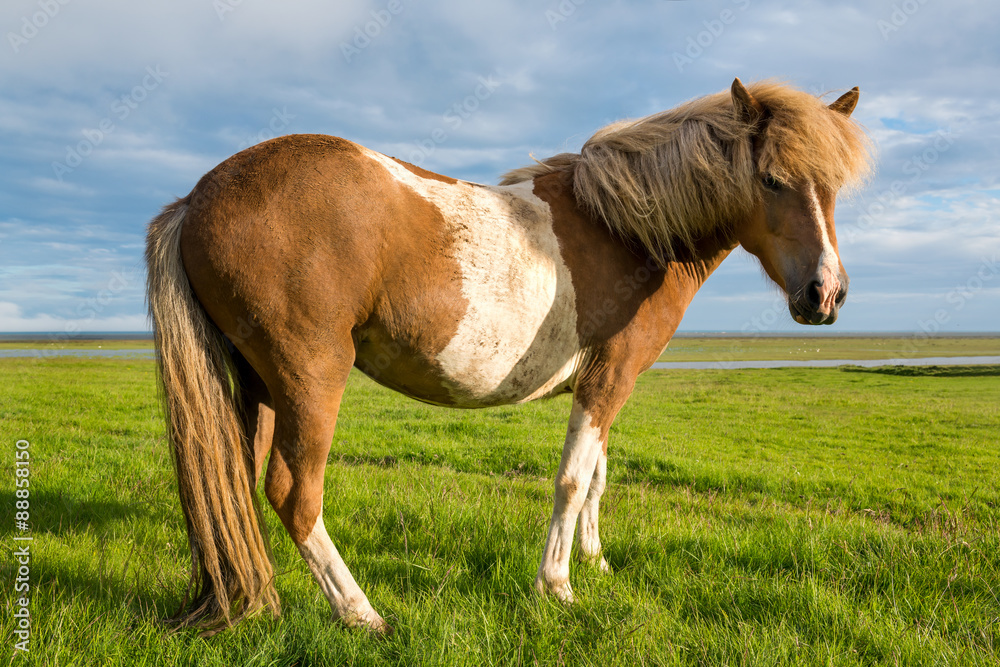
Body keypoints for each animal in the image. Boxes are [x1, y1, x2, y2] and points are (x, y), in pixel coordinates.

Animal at [145, 78, 872, 634]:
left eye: (834, 188)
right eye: (773, 180)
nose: (825, 294)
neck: (628, 228)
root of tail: (198, 199)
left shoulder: (606, 382)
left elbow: (597, 478)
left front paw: (596, 562)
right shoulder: (610, 378)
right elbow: (572, 480)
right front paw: (557, 585)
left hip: (256, 383)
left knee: (230, 487)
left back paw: (243, 593)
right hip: (309, 378)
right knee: (294, 494)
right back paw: (361, 613)